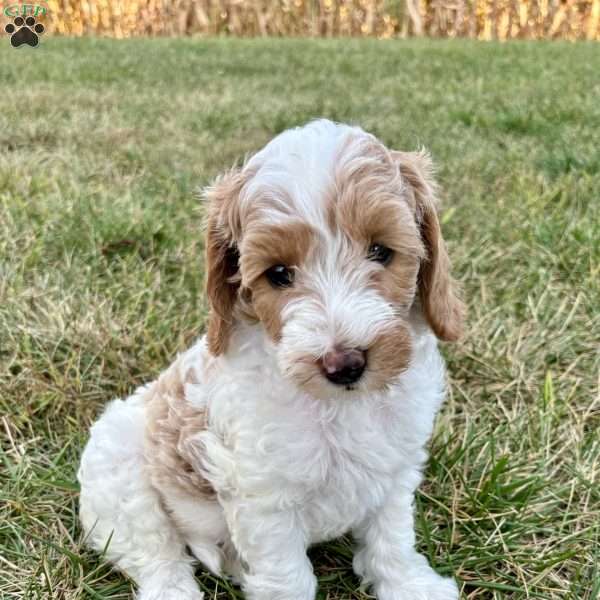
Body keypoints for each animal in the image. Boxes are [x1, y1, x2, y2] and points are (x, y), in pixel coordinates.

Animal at [78, 119, 464, 596]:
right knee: (156, 553)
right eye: (279, 274)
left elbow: (391, 539)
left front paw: (410, 585)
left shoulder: (393, 470)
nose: (345, 365)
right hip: (120, 477)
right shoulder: (265, 500)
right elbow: (289, 577)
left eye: (380, 251)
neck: (339, 406)